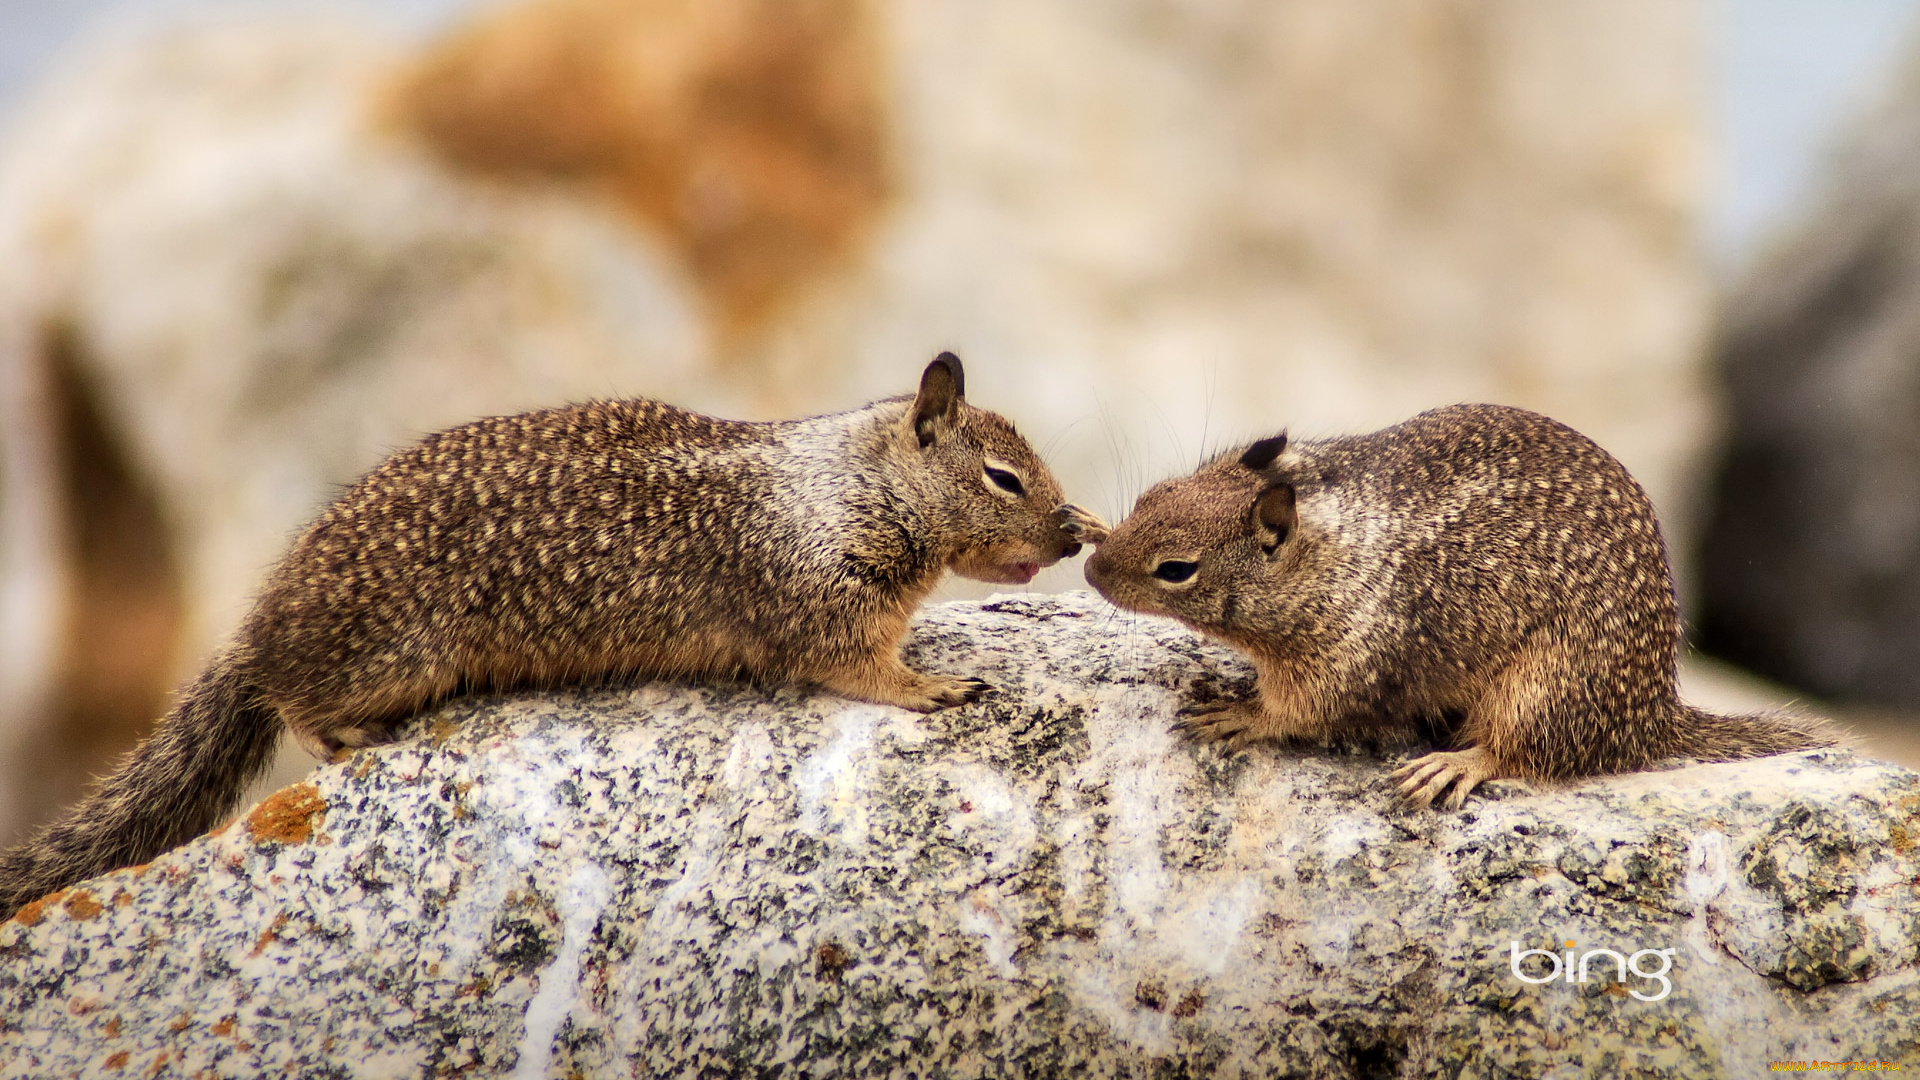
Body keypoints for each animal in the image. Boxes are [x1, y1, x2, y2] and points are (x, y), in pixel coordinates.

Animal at [3, 351, 1113, 907]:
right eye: (1003, 478)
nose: (1070, 532)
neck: (849, 484)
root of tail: (263, 615)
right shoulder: (820, 602)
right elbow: (861, 670)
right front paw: (936, 686)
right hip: (393, 654)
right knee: (296, 702)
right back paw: (349, 735)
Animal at [1090, 403, 1835, 807]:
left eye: (1176, 570)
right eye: (1152, 494)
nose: (1094, 571)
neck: (1332, 556)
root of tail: (1655, 719)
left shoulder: (1347, 660)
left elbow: (1296, 712)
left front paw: (1238, 714)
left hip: (1545, 689)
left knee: (1527, 756)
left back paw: (1454, 764)